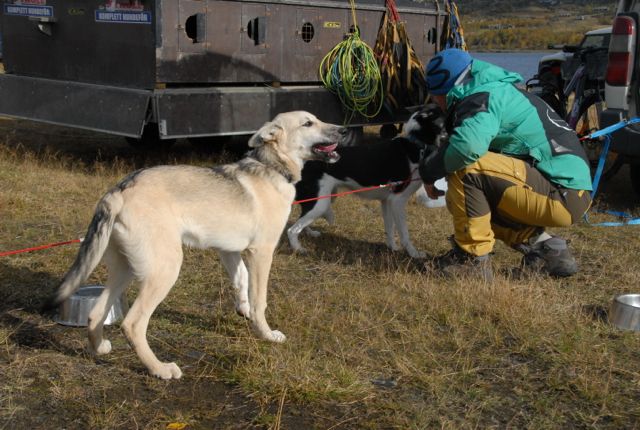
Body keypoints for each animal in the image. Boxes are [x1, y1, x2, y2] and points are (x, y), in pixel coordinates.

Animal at [43, 111, 347, 379]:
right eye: (308, 123)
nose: (344, 130)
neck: (271, 168)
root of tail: (118, 190)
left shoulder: (229, 250)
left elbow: (241, 280)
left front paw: (244, 310)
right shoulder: (261, 252)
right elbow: (260, 299)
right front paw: (266, 333)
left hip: (126, 268)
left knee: (96, 313)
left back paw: (100, 348)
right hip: (164, 270)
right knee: (132, 324)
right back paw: (160, 369)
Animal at [287, 104, 447, 258]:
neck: (416, 144)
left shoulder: (387, 202)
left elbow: (389, 229)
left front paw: (392, 248)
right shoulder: (398, 201)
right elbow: (404, 233)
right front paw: (414, 254)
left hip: (324, 199)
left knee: (302, 219)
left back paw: (310, 233)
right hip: (321, 203)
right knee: (292, 230)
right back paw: (299, 249)